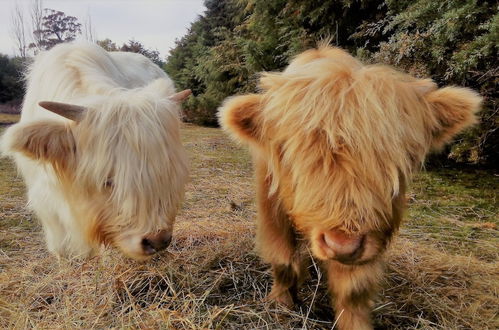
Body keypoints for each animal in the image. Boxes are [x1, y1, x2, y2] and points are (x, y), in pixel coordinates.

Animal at [218, 44, 480, 330]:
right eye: (290, 153)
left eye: (398, 157)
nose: (342, 244)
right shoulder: (272, 207)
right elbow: (282, 256)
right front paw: (281, 303)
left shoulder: (373, 230)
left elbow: (354, 289)